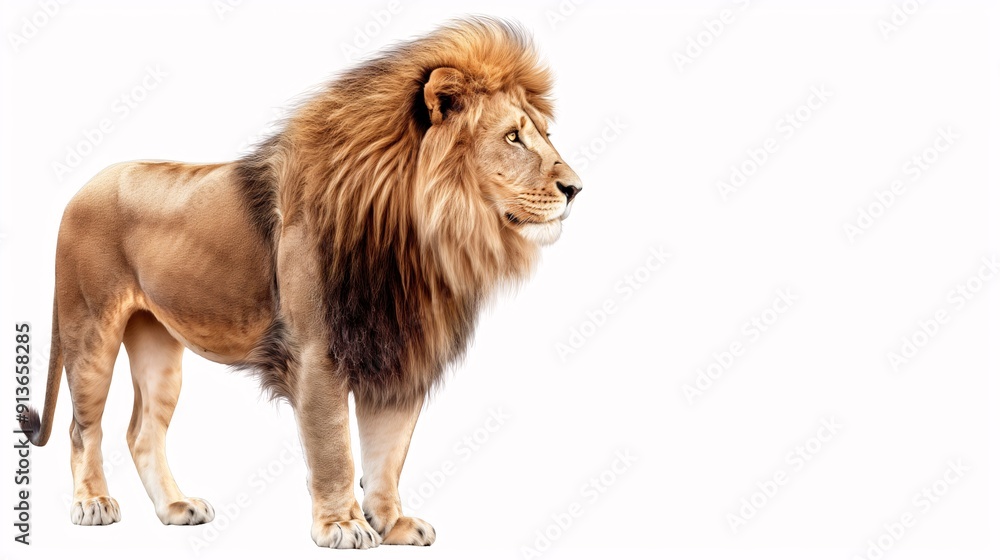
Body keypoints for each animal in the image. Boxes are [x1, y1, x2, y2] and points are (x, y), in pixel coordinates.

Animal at [20, 17, 581, 549]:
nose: (576, 187)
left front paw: (392, 523)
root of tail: (81, 189)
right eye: (513, 137)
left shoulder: (397, 351)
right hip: (90, 331)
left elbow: (388, 452)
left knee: (142, 431)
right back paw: (92, 503)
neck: (419, 238)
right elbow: (335, 449)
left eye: (545, 135)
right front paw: (343, 526)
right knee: (82, 427)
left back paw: (176, 508)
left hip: (158, 345)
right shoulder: (317, 354)